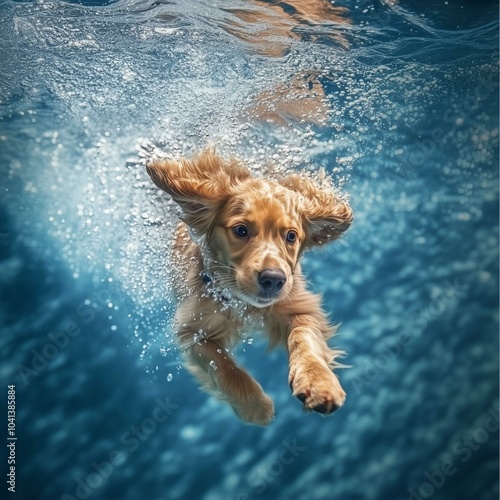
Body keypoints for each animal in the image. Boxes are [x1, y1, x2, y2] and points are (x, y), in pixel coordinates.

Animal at [146, 150, 354, 424]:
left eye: (291, 236)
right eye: (241, 230)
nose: (274, 279)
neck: (242, 304)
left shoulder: (300, 305)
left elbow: (304, 336)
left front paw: (318, 381)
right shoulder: (192, 331)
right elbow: (223, 367)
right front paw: (254, 406)